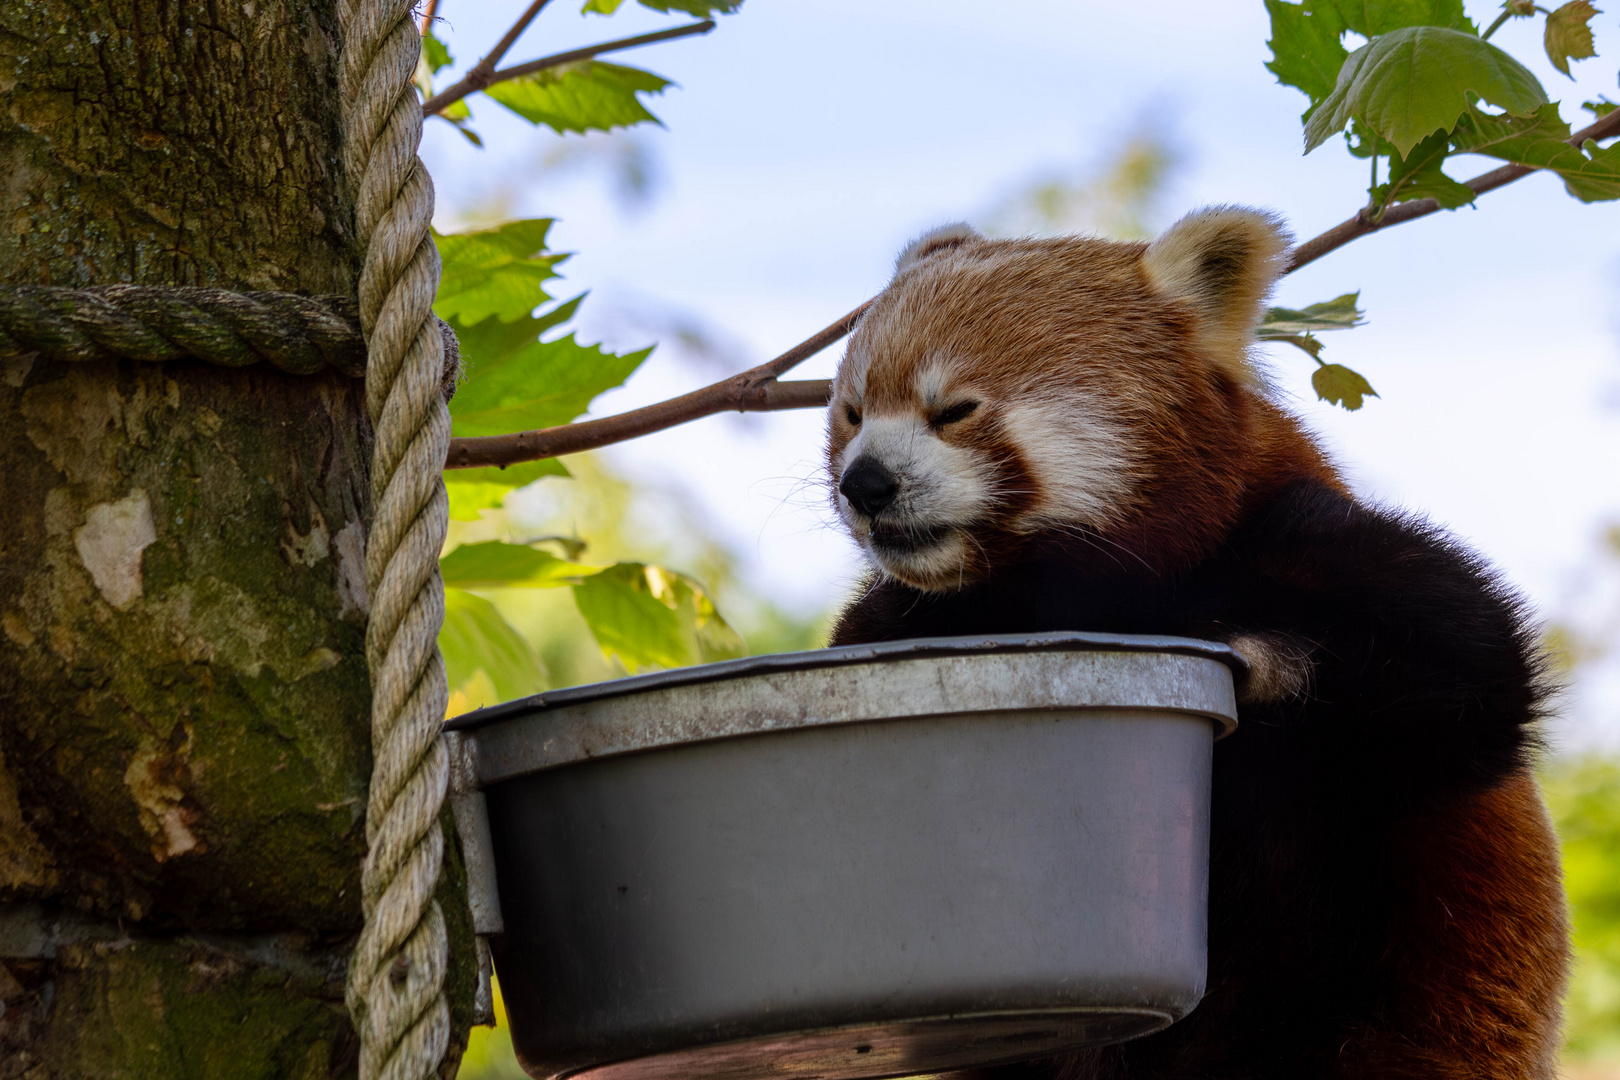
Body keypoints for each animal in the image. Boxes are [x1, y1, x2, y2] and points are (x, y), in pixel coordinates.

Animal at [822, 208, 1568, 1080]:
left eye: (955, 409)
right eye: (853, 412)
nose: (866, 485)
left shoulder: (1310, 535)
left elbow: (1473, 681)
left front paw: (1263, 657)